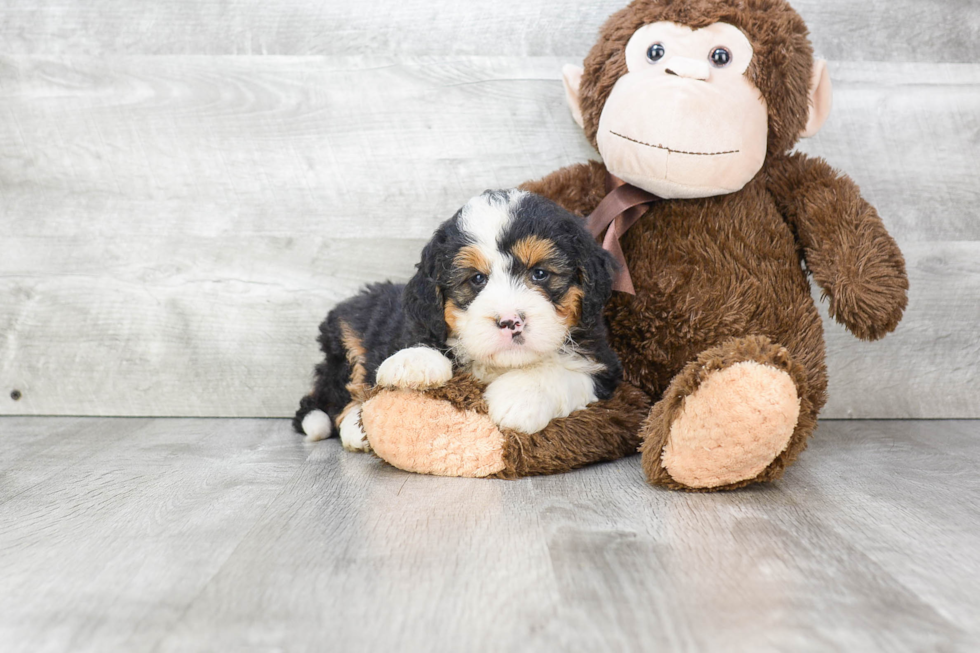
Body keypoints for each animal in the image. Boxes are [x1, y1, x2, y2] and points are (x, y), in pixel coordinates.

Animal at [294, 191, 624, 450]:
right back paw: (354, 425)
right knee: (337, 397)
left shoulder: (605, 363)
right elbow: (418, 336)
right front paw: (413, 362)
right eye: (476, 279)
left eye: (540, 274)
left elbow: (567, 371)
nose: (510, 321)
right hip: (346, 341)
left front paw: (519, 396)